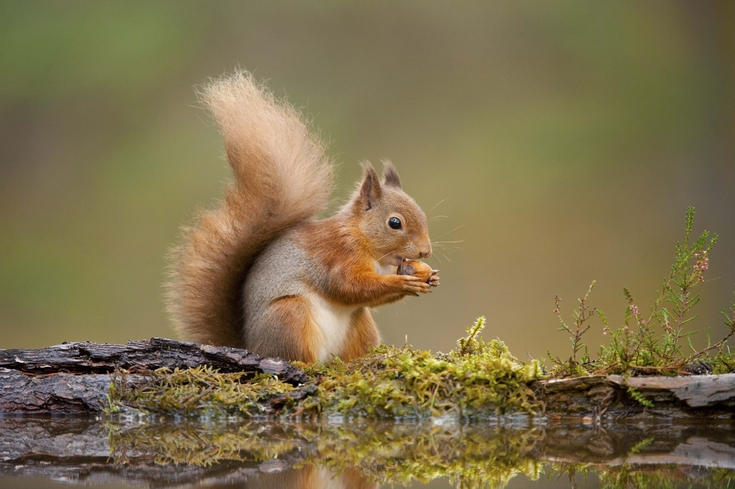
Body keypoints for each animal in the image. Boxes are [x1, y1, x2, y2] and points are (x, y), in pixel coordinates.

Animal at [166, 71, 439, 363]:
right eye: (394, 223)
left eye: (422, 213)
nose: (425, 251)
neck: (363, 240)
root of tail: (252, 345)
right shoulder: (337, 256)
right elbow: (348, 286)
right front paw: (403, 281)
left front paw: (431, 277)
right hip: (289, 315)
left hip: (360, 323)